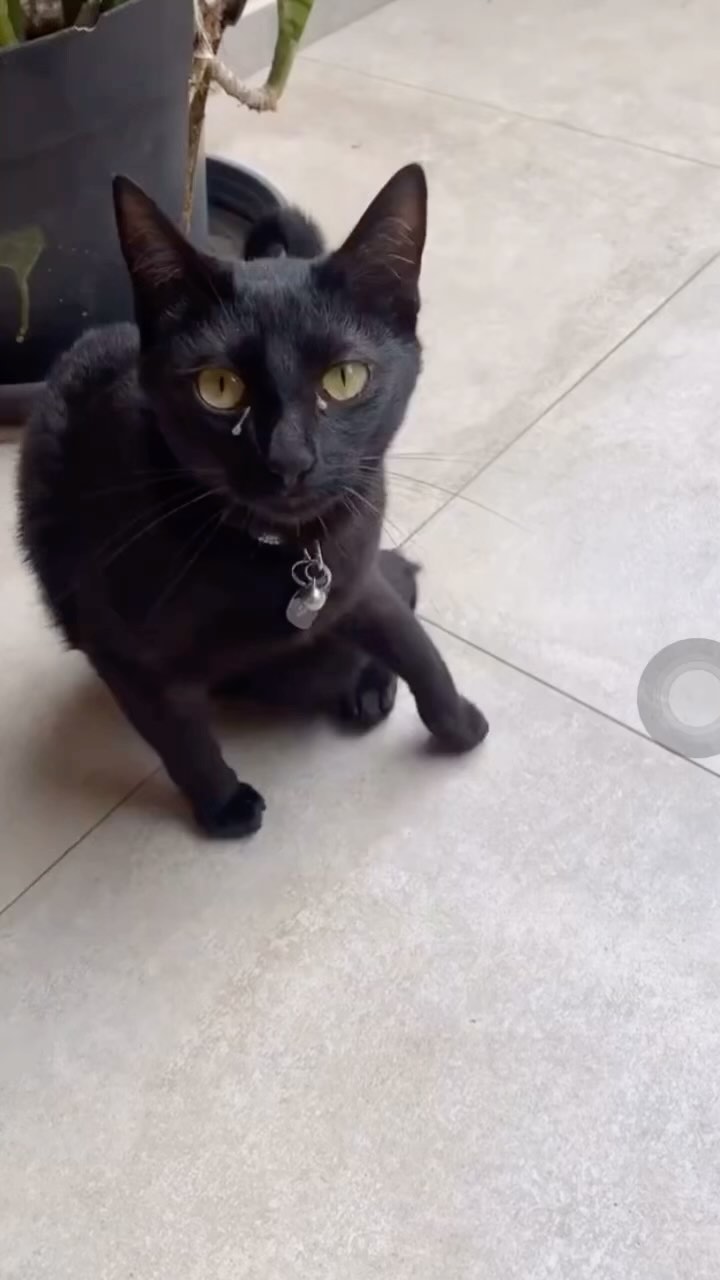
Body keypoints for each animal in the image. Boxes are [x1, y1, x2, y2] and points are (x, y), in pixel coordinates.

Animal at [18, 163, 489, 838]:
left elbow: (413, 643)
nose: (289, 459)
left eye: (345, 379)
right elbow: (179, 737)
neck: (281, 555)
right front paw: (223, 807)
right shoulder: (124, 655)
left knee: (402, 585)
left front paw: (457, 725)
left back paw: (369, 687)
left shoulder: (352, 574)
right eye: (219, 388)